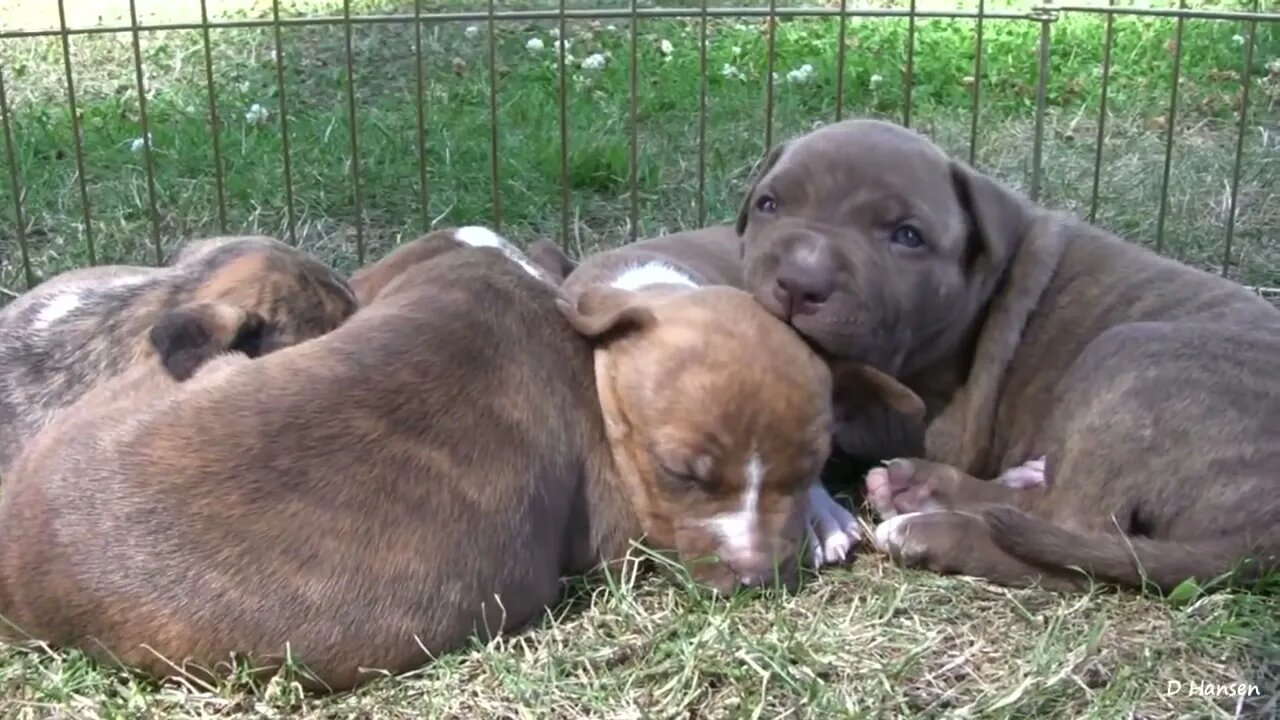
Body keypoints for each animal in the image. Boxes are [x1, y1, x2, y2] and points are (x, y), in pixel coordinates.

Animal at [732, 116, 1280, 589]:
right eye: (768, 205)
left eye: (908, 236)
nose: (799, 282)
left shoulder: (937, 423)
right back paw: (923, 488)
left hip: (1129, 355)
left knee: (1074, 534)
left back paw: (928, 528)